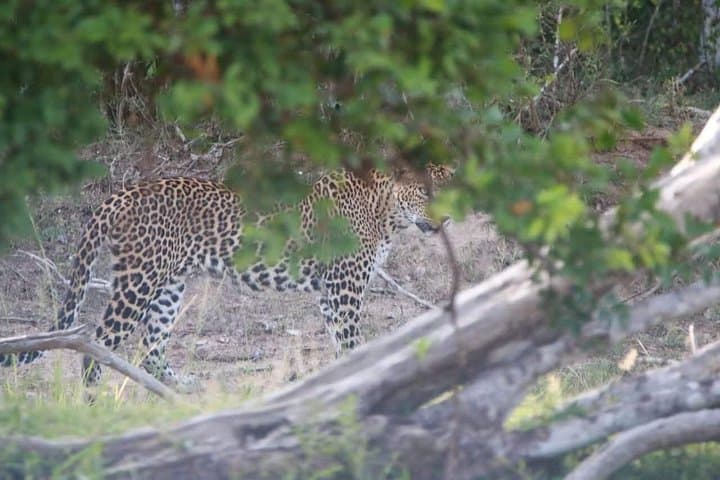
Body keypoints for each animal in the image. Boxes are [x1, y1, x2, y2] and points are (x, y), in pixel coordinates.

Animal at [0, 164, 453, 390]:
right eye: (424, 193)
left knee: (150, 345)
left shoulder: (330, 291)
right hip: (139, 280)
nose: (446, 218)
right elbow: (351, 340)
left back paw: (178, 389)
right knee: (98, 345)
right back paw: (94, 403)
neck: (387, 212)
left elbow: (341, 343)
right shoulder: (345, 288)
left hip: (169, 285)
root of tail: (121, 194)